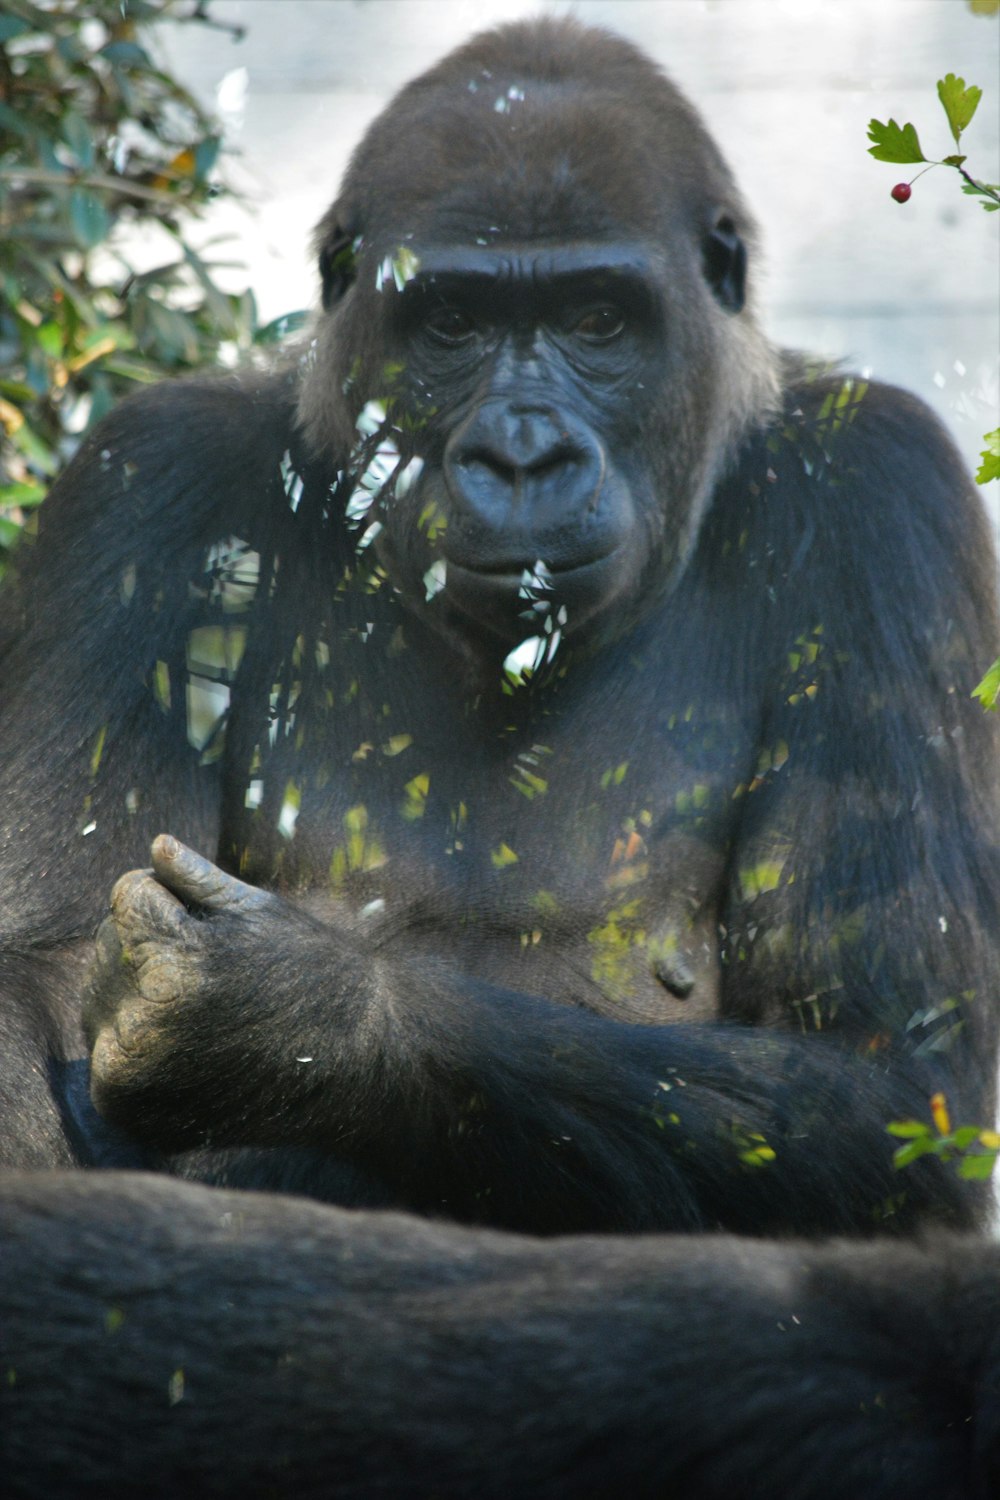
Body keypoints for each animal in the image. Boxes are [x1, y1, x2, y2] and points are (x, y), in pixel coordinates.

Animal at [1, 14, 1000, 1500]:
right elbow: (37, 993)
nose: (520, 456)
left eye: (596, 321)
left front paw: (297, 1018)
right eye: (454, 324)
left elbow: (897, 1077)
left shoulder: (891, 495)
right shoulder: (139, 489)